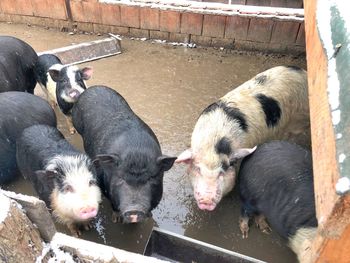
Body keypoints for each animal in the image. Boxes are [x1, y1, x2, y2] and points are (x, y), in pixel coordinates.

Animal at [71, 86, 176, 225]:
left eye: (151, 178)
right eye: (120, 178)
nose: (134, 210)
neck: (136, 149)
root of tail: (92, 88)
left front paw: (149, 216)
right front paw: (116, 220)